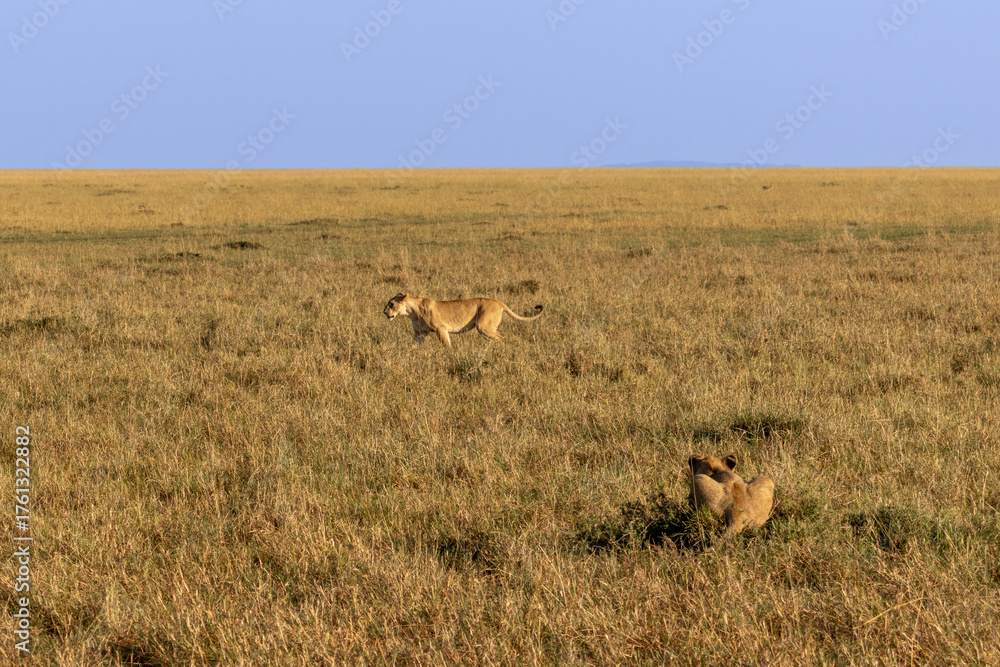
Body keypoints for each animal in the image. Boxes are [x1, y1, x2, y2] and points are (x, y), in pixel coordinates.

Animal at [383, 293, 543, 346]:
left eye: (391, 304)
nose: (384, 312)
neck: (411, 312)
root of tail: (498, 302)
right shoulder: (420, 334)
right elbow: (413, 346)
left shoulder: (441, 328)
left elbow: (446, 344)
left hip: (484, 326)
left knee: (502, 338)